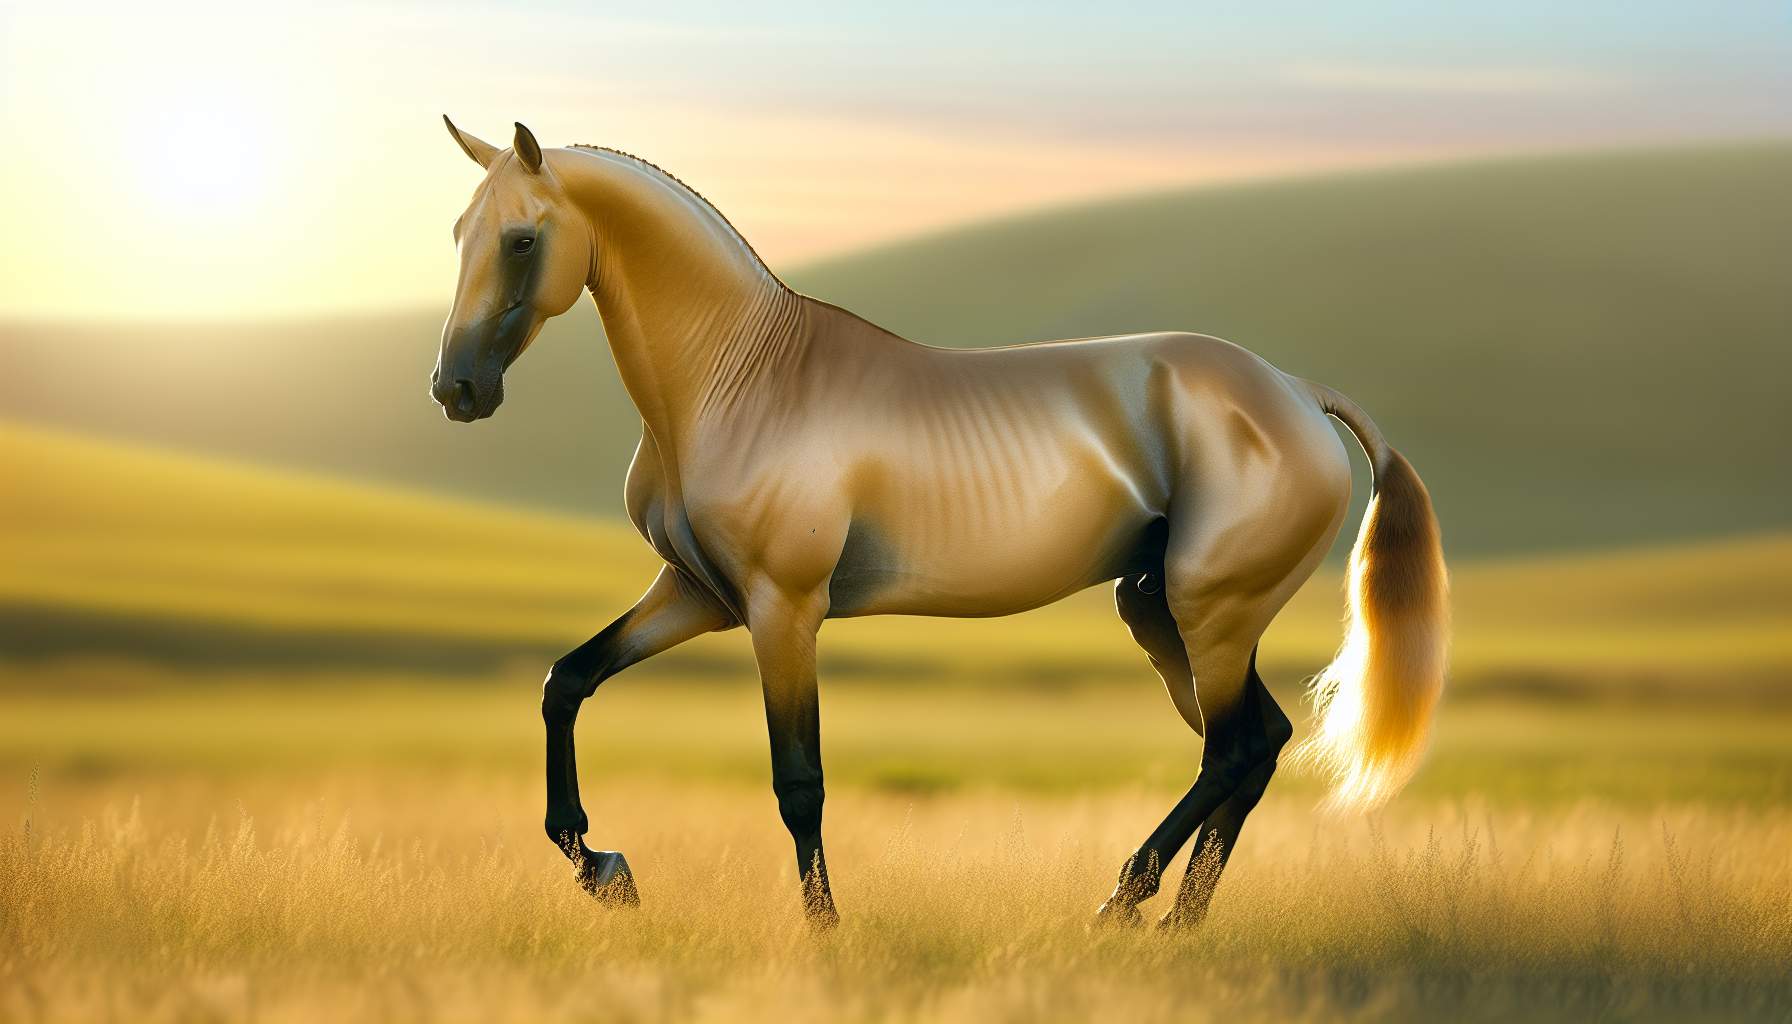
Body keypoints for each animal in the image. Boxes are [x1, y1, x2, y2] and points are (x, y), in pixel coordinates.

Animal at [430, 119, 1449, 928]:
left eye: (520, 240)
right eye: (457, 233)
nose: (457, 391)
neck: (739, 380)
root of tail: (1298, 392)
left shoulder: (783, 610)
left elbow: (799, 781)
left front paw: (825, 933)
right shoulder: (697, 596)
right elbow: (567, 683)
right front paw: (606, 870)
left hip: (1214, 612)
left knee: (1235, 747)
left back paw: (1122, 905)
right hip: (1163, 610)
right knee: (1256, 745)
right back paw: (1174, 925)